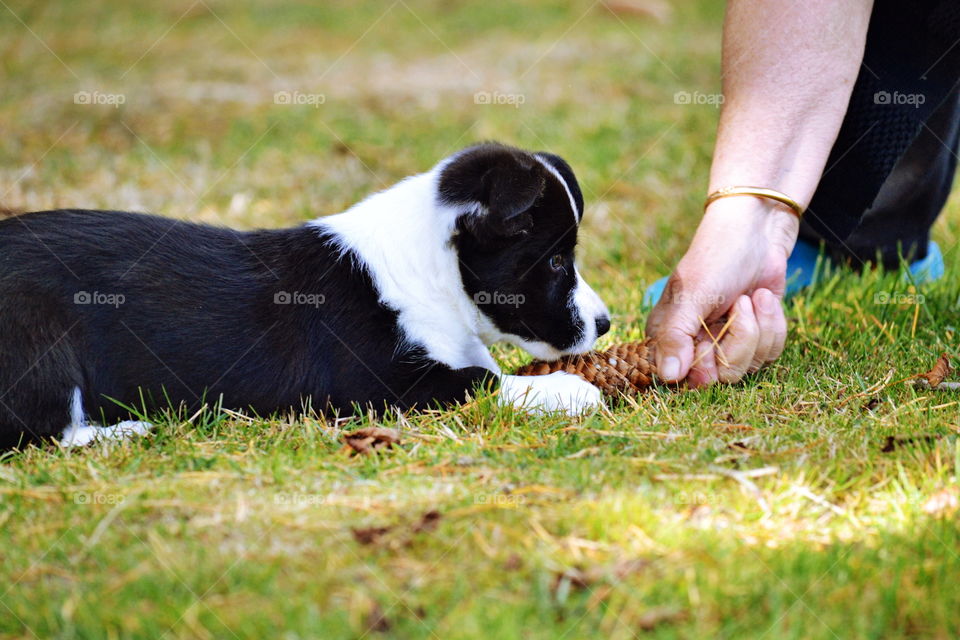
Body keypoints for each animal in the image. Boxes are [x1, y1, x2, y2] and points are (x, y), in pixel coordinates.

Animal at [0, 142, 612, 448]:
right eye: (556, 261)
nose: (607, 324)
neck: (430, 274)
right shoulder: (379, 388)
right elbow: (481, 381)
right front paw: (572, 390)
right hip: (36, 346)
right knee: (43, 429)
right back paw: (127, 430)